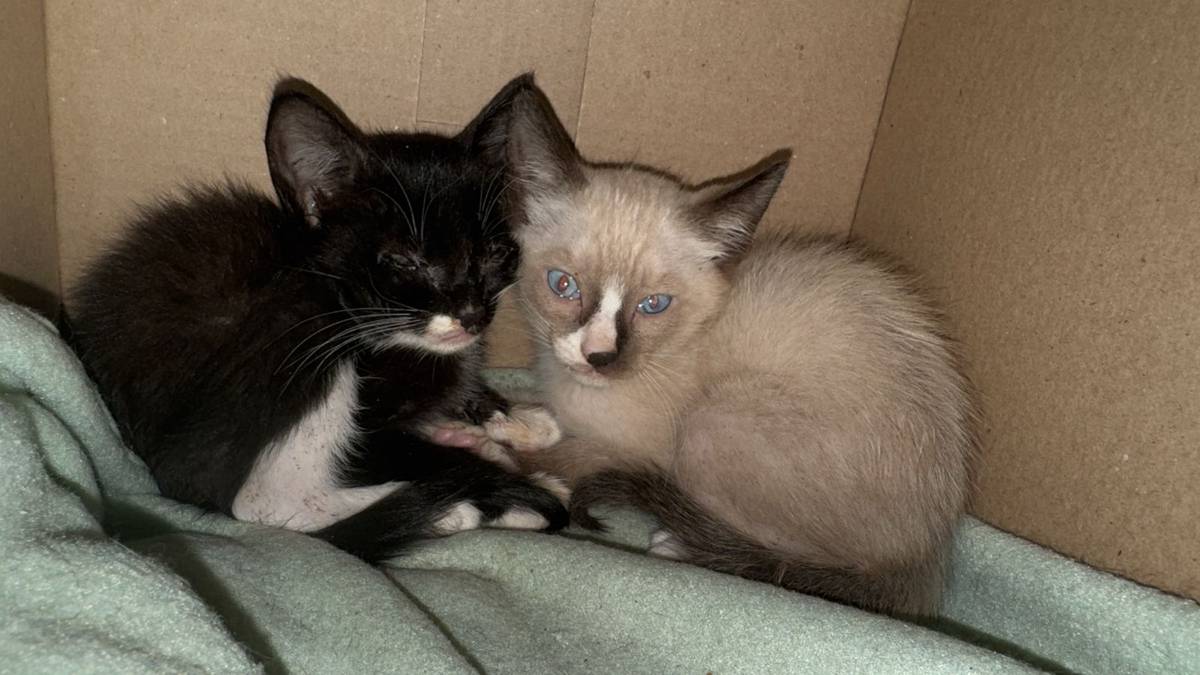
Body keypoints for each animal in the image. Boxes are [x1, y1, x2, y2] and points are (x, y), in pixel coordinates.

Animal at [66, 74, 569, 563]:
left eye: (494, 254)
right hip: (289, 332)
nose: (470, 314)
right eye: (405, 263)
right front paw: (517, 484)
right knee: (257, 500)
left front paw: (513, 416)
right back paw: (458, 509)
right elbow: (403, 450)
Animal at [485, 83, 979, 616]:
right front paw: (511, 422)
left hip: (710, 423)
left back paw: (677, 544)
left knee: (783, 560)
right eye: (564, 285)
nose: (601, 357)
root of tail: (925, 559)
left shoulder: (631, 450)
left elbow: (565, 459)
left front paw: (491, 451)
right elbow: (535, 417)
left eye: (654, 305)